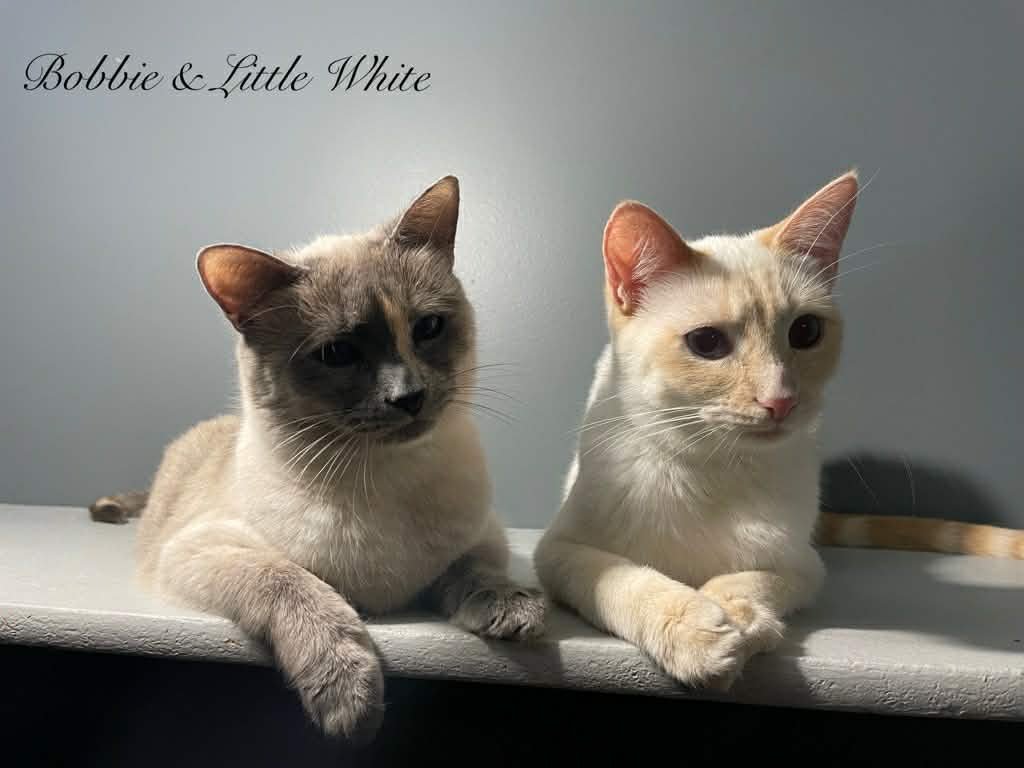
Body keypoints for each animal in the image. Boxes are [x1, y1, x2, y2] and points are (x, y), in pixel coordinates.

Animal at [90, 176, 545, 742]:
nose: (409, 396)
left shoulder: (482, 538)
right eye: (337, 354)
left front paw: (513, 609)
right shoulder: (202, 550)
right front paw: (350, 698)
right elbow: (292, 583)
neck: (383, 479)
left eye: (428, 328)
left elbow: (475, 570)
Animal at [534, 171, 1023, 690]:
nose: (780, 399)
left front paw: (736, 617)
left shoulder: (802, 564)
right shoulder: (558, 550)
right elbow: (619, 577)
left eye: (806, 332)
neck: (712, 468)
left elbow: (752, 579)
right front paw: (693, 630)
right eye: (706, 343)